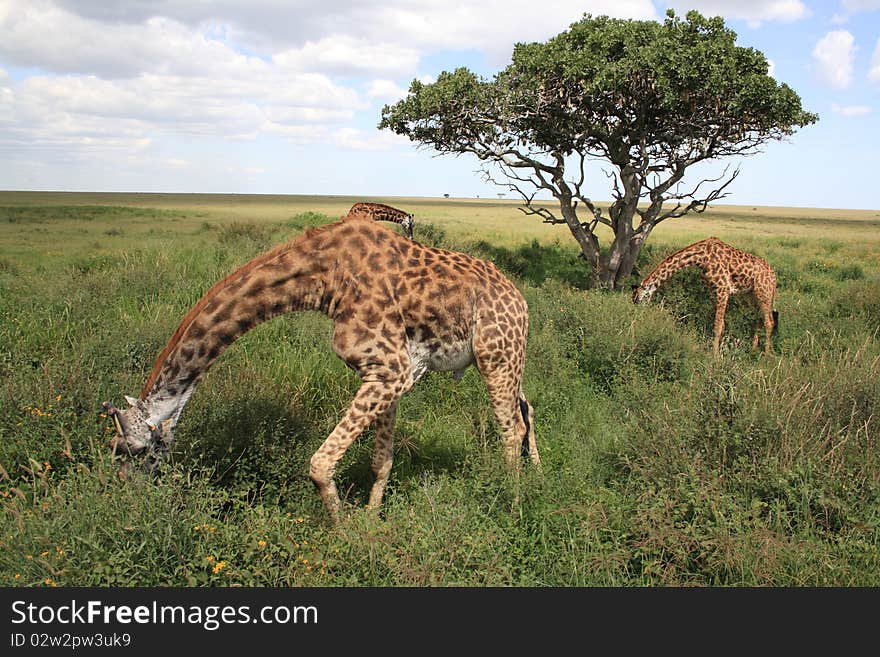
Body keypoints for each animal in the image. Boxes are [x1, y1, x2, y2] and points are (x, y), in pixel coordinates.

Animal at [106, 213, 540, 520]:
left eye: (132, 449)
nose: (126, 496)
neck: (323, 278)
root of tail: (519, 297)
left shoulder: (391, 369)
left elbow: (320, 464)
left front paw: (343, 531)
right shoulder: (389, 373)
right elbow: (380, 460)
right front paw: (370, 523)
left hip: (496, 355)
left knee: (511, 429)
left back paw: (513, 505)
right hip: (508, 356)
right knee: (526, 407)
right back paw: (536, 474)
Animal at [632, 236, 776, 354]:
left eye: (640, 299)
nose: (639, 316)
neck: (701, 257)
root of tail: (774, 276)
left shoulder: (723, 289)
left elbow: (717, 325)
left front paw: (714, 356)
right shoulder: (714, 291)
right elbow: (721, 324)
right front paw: (719, 351)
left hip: (764, 293)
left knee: (769, 321)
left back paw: (766, 355)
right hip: (751, 295)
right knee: (758, 319)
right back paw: (753, 350)